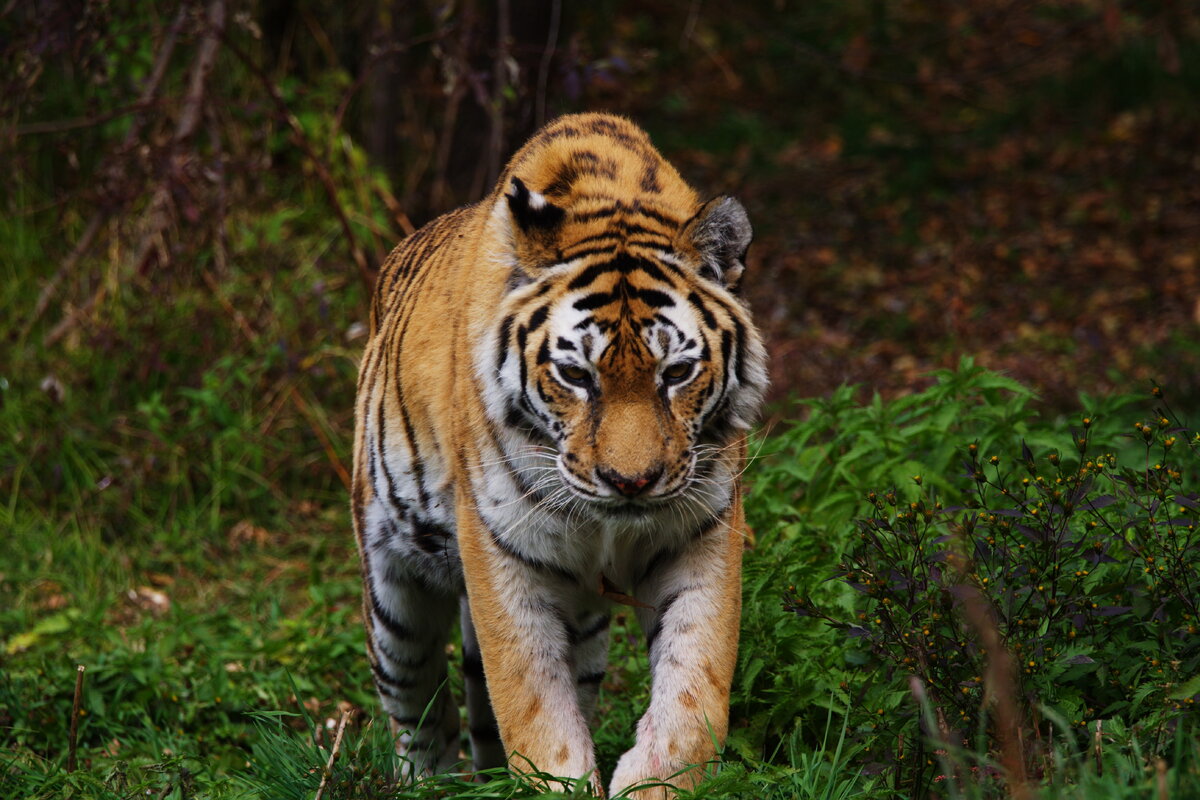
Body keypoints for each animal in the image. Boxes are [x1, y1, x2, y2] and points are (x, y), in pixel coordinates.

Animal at [350, 110, 768, 796]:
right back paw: (430, 781)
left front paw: (655, 780)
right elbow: (532, 703)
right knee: (418, 712)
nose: (631, 482)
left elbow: (695, 688)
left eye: (676, 373)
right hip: (394, 598)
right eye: (576, 375)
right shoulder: (501, 553)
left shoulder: (700, 534)